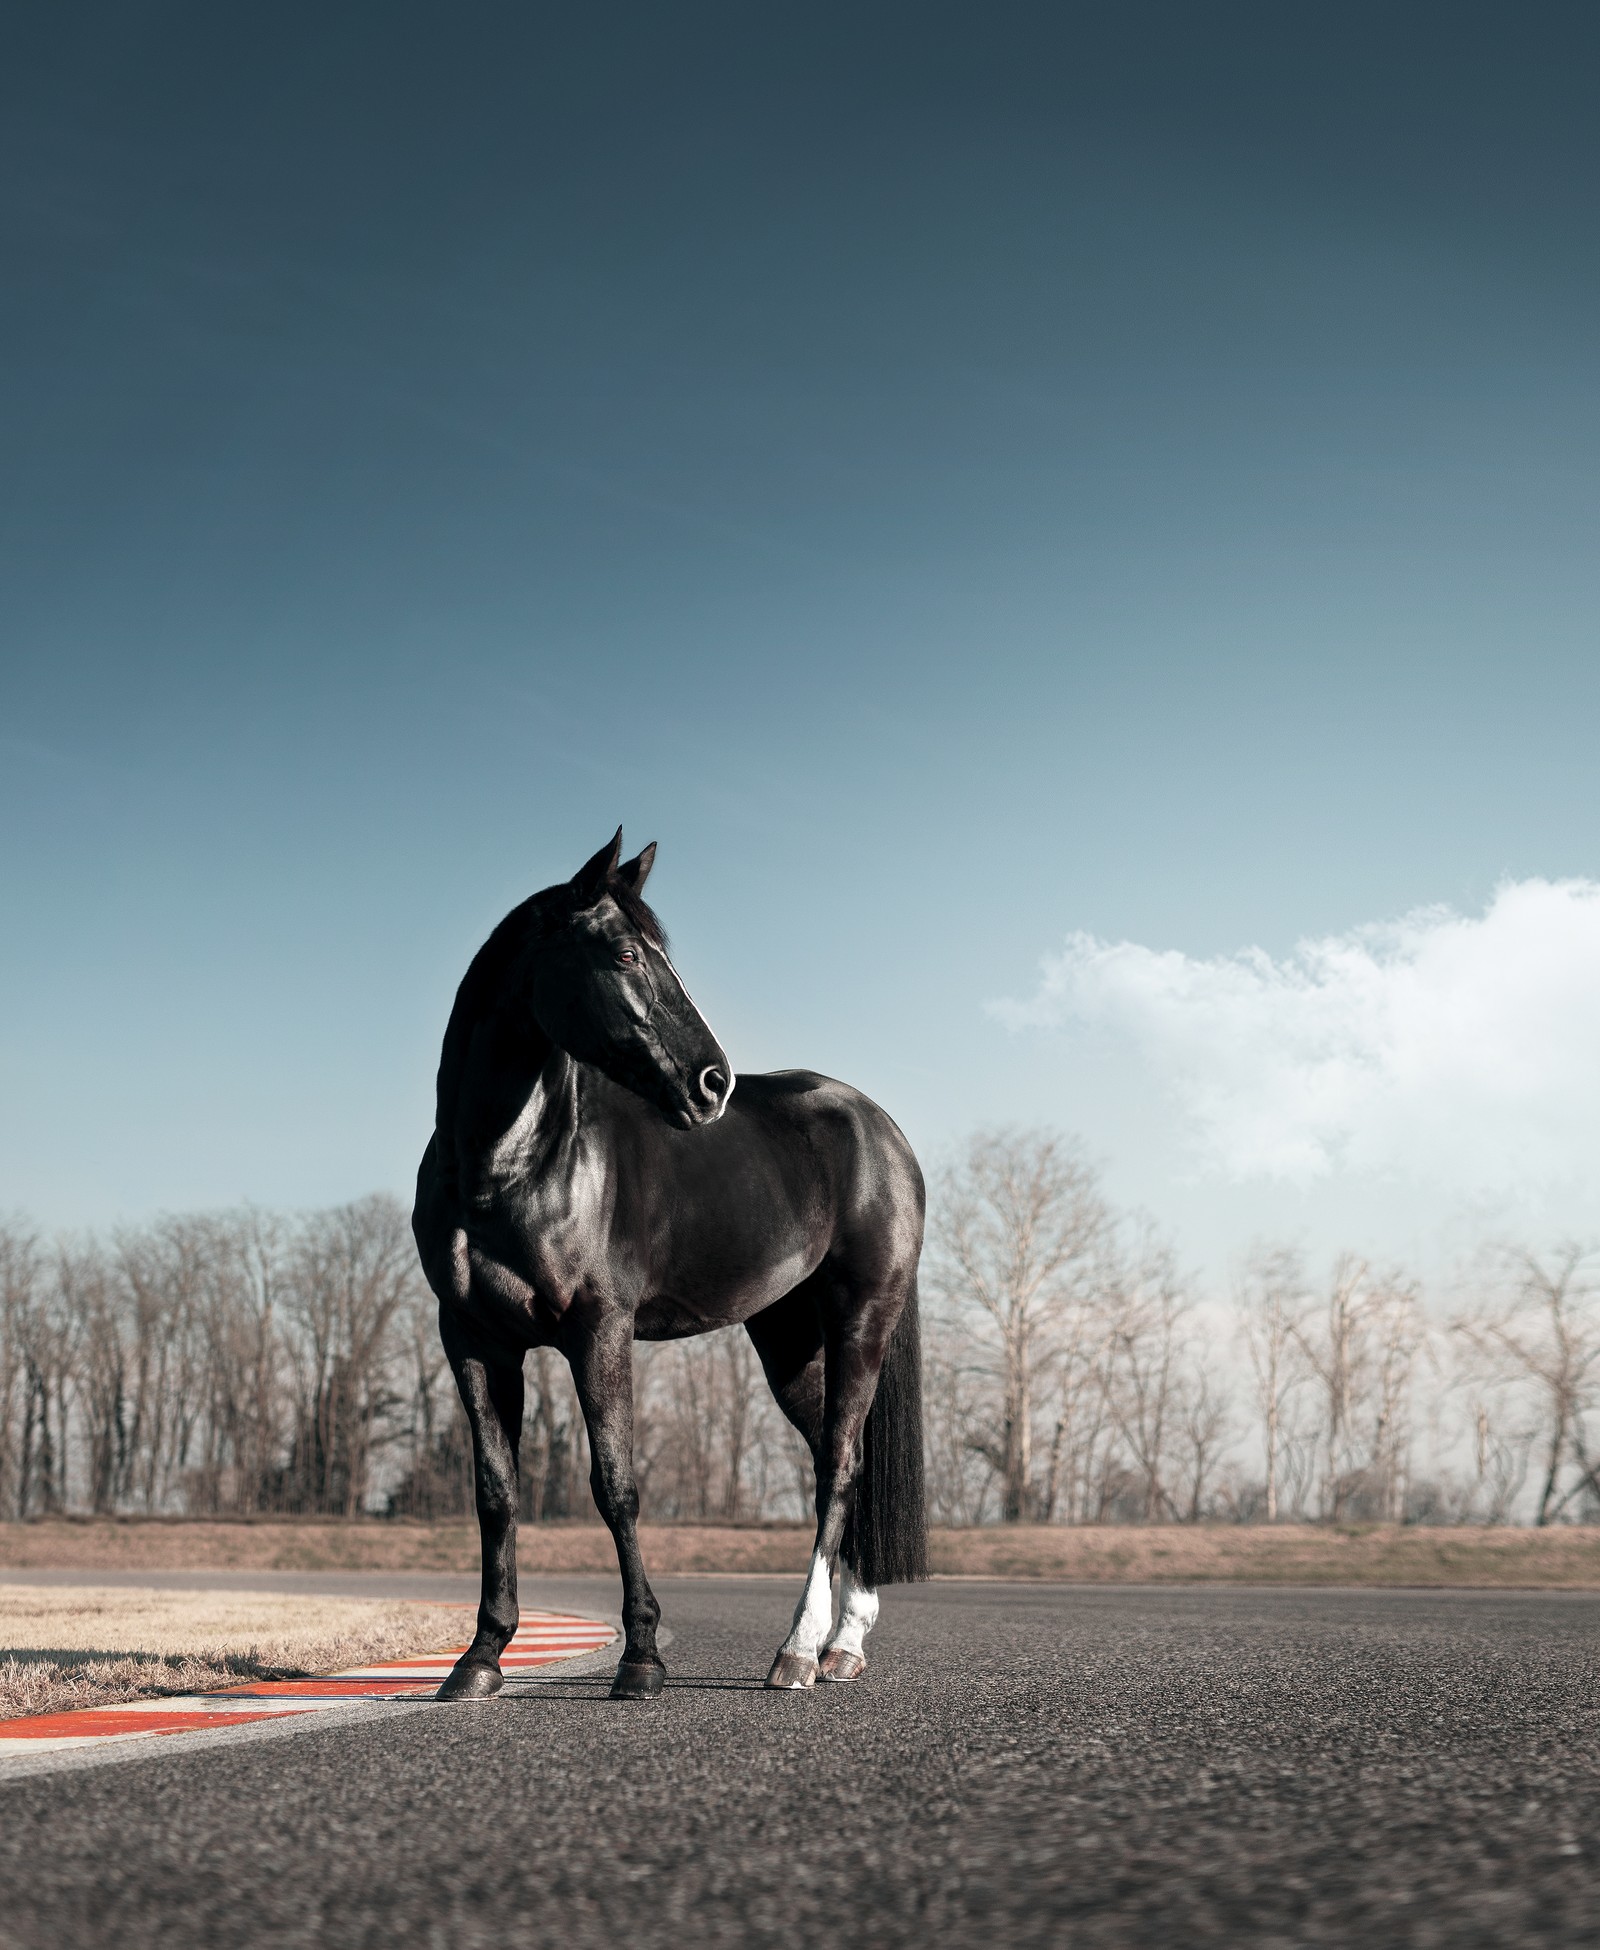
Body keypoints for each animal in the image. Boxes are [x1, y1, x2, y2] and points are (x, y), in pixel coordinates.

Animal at [411, 830, 923, 1700]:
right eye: (622, 952)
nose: (712, 1083)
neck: (507, 1166)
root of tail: (881, 1127)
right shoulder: (474, 1339)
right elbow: (496, 1494)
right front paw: (479, 1658)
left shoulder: (599, 1331)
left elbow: (615, 1487)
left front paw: (642, 1656)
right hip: (788, 1340)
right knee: (839, 1461)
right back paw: (843, 1644)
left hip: (862, 1319)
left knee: (839, 1466)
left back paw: (797, 1650)